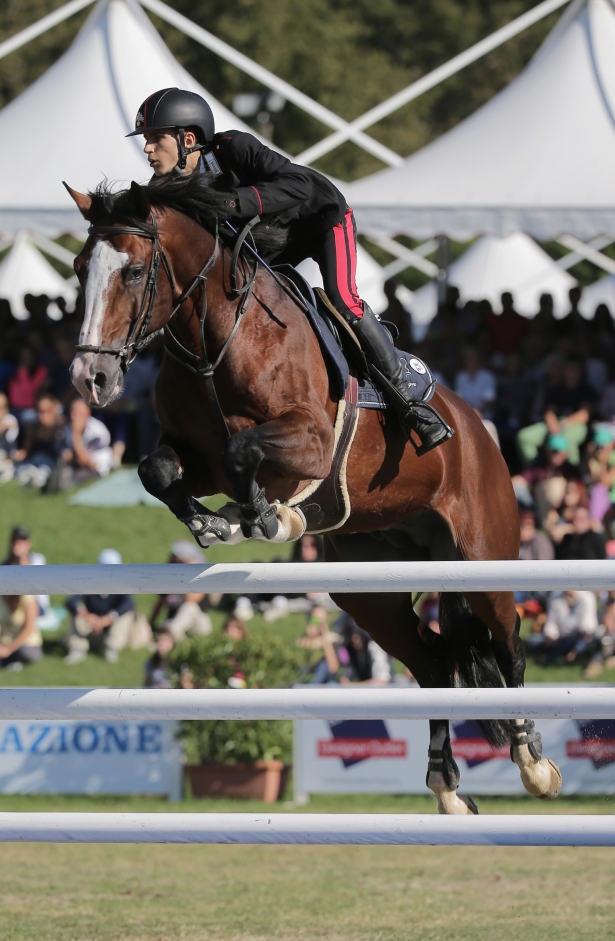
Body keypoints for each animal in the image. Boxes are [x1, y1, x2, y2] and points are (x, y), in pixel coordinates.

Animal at [66, 178, 564, 816]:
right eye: (80, 268)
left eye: (131, 272)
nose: (89, 380)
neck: (214, 338)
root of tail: (479, 429)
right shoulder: (194, 458)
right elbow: (159, 470)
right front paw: (217, 523)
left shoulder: (311, 443)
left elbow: (244, 454)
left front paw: (265, 518)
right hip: (369, 589)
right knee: (433, 659)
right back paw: (448, 789)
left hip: (482, 557)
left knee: (508, 642)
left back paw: (534, 764)